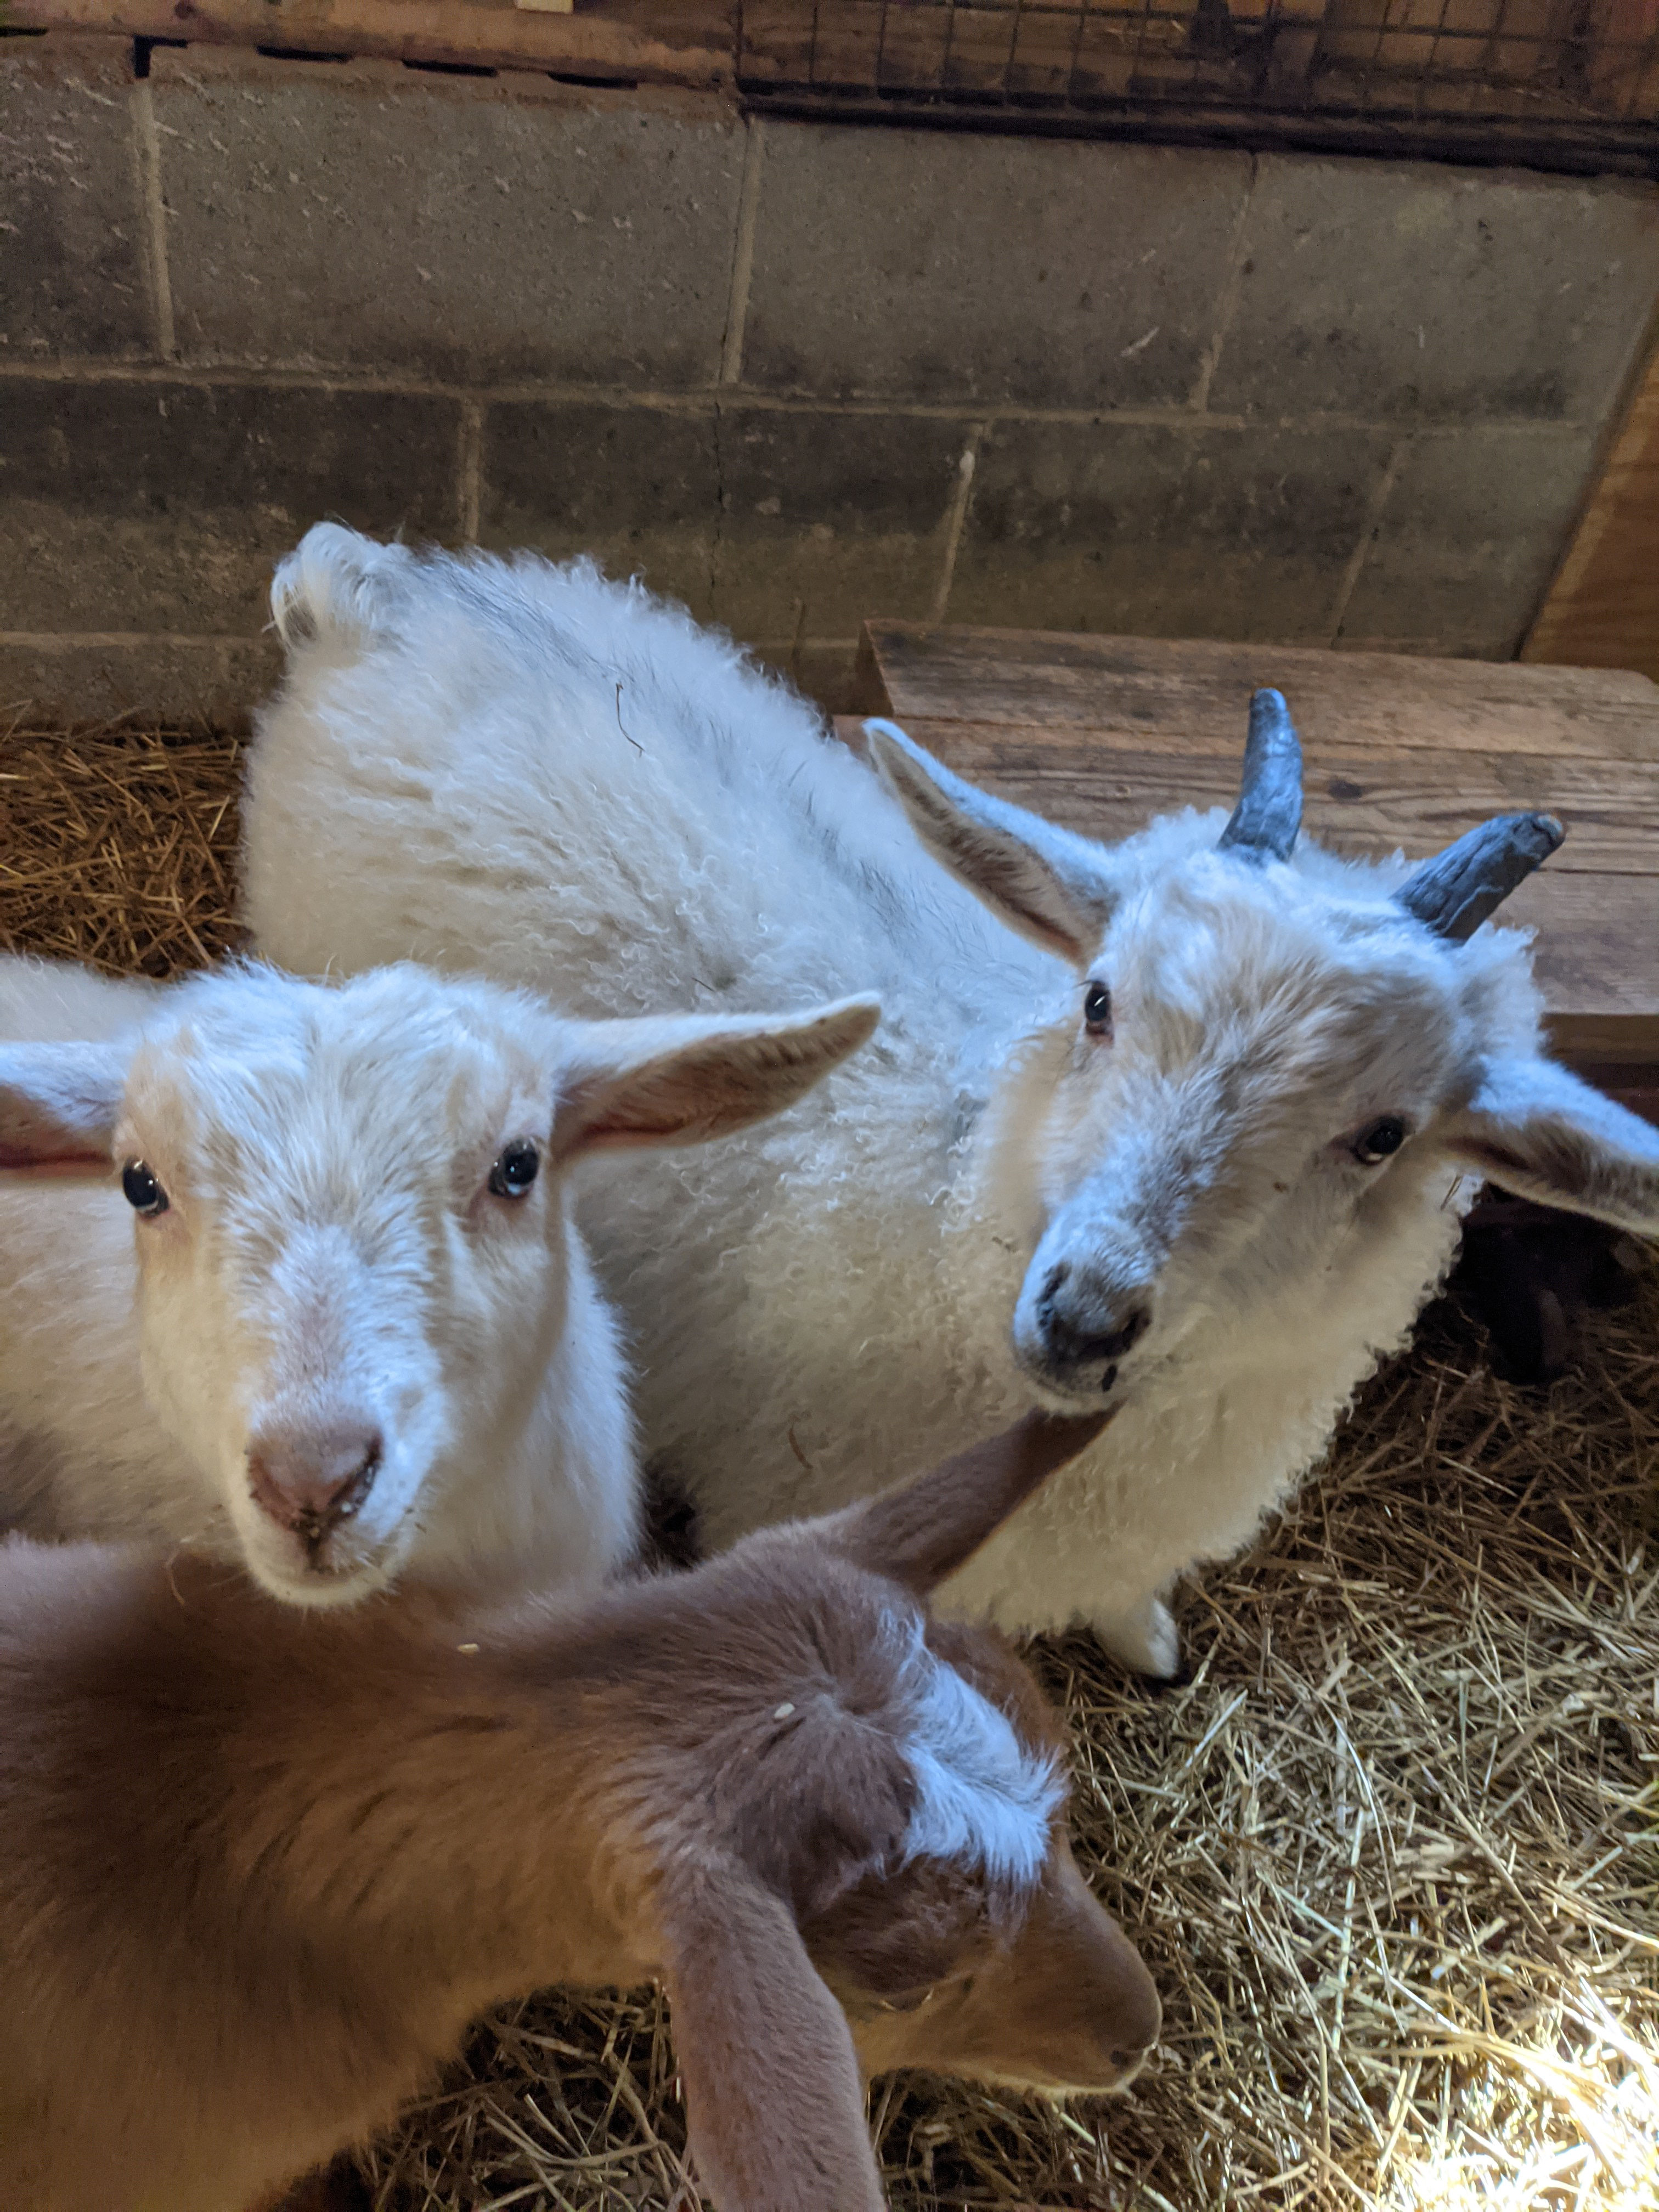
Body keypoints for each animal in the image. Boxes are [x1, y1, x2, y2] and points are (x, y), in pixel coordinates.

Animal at [242, 529, 1659, 1674]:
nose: (1082, 1316)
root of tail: (384, 596)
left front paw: (1143, 1636)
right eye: (1099, 1001)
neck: (942, 1195)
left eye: (1382, 1136)